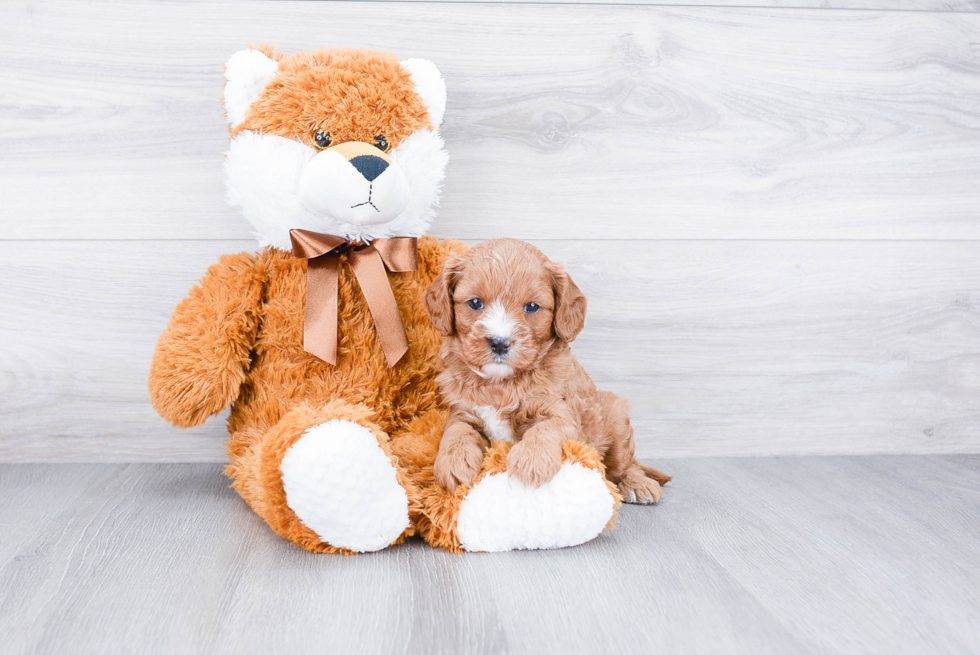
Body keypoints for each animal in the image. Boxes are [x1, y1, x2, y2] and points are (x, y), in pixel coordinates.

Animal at [424, 238, 668, 504]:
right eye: (475, 303)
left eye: (532, 307)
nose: (499, 342)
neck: (501, 384)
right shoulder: (463, 410)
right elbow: (457, 431)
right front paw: (453, 462)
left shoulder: (561, 411)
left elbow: (546, 428)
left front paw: (530, 462)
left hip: (617, 419)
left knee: (625, 465)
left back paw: (637, 483)